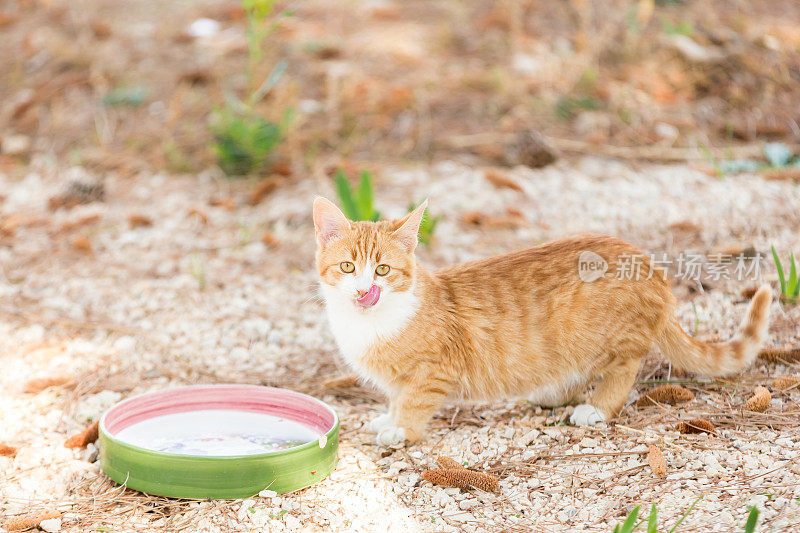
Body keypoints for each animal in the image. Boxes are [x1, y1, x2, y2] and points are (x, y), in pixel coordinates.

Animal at [314, 196, 776, 444]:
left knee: (625, 366)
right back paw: (552, 392)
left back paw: (597, 408)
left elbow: (413, 401)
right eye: (347, 267)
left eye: (383, 270)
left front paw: (400, 431)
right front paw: (388, 418)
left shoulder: (433, 370)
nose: (364, 290)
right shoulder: (401, 376)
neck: (371, 325)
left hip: (601, 334)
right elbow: (396, 397)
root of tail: (651, 266)